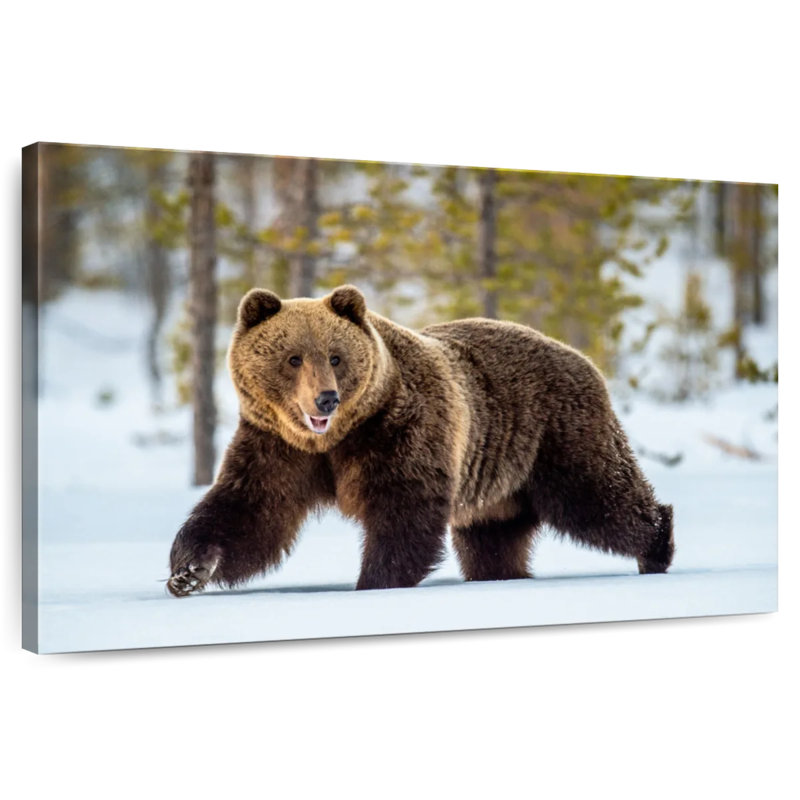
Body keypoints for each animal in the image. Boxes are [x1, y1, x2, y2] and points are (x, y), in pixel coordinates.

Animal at [167, 284, 674, 596]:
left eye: (335, 356)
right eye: (293, 358)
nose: (327, 398)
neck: (336, 439)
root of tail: (582, 357)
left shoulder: (400, 429)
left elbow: (403, 509)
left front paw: (374, 580)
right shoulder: (276, 444)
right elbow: (249, 510)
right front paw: (188, 571)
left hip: (555, 434)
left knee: (598, 498)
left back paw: (656, 545)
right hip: (499, 481)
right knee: (493, 538)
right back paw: (500, 576)